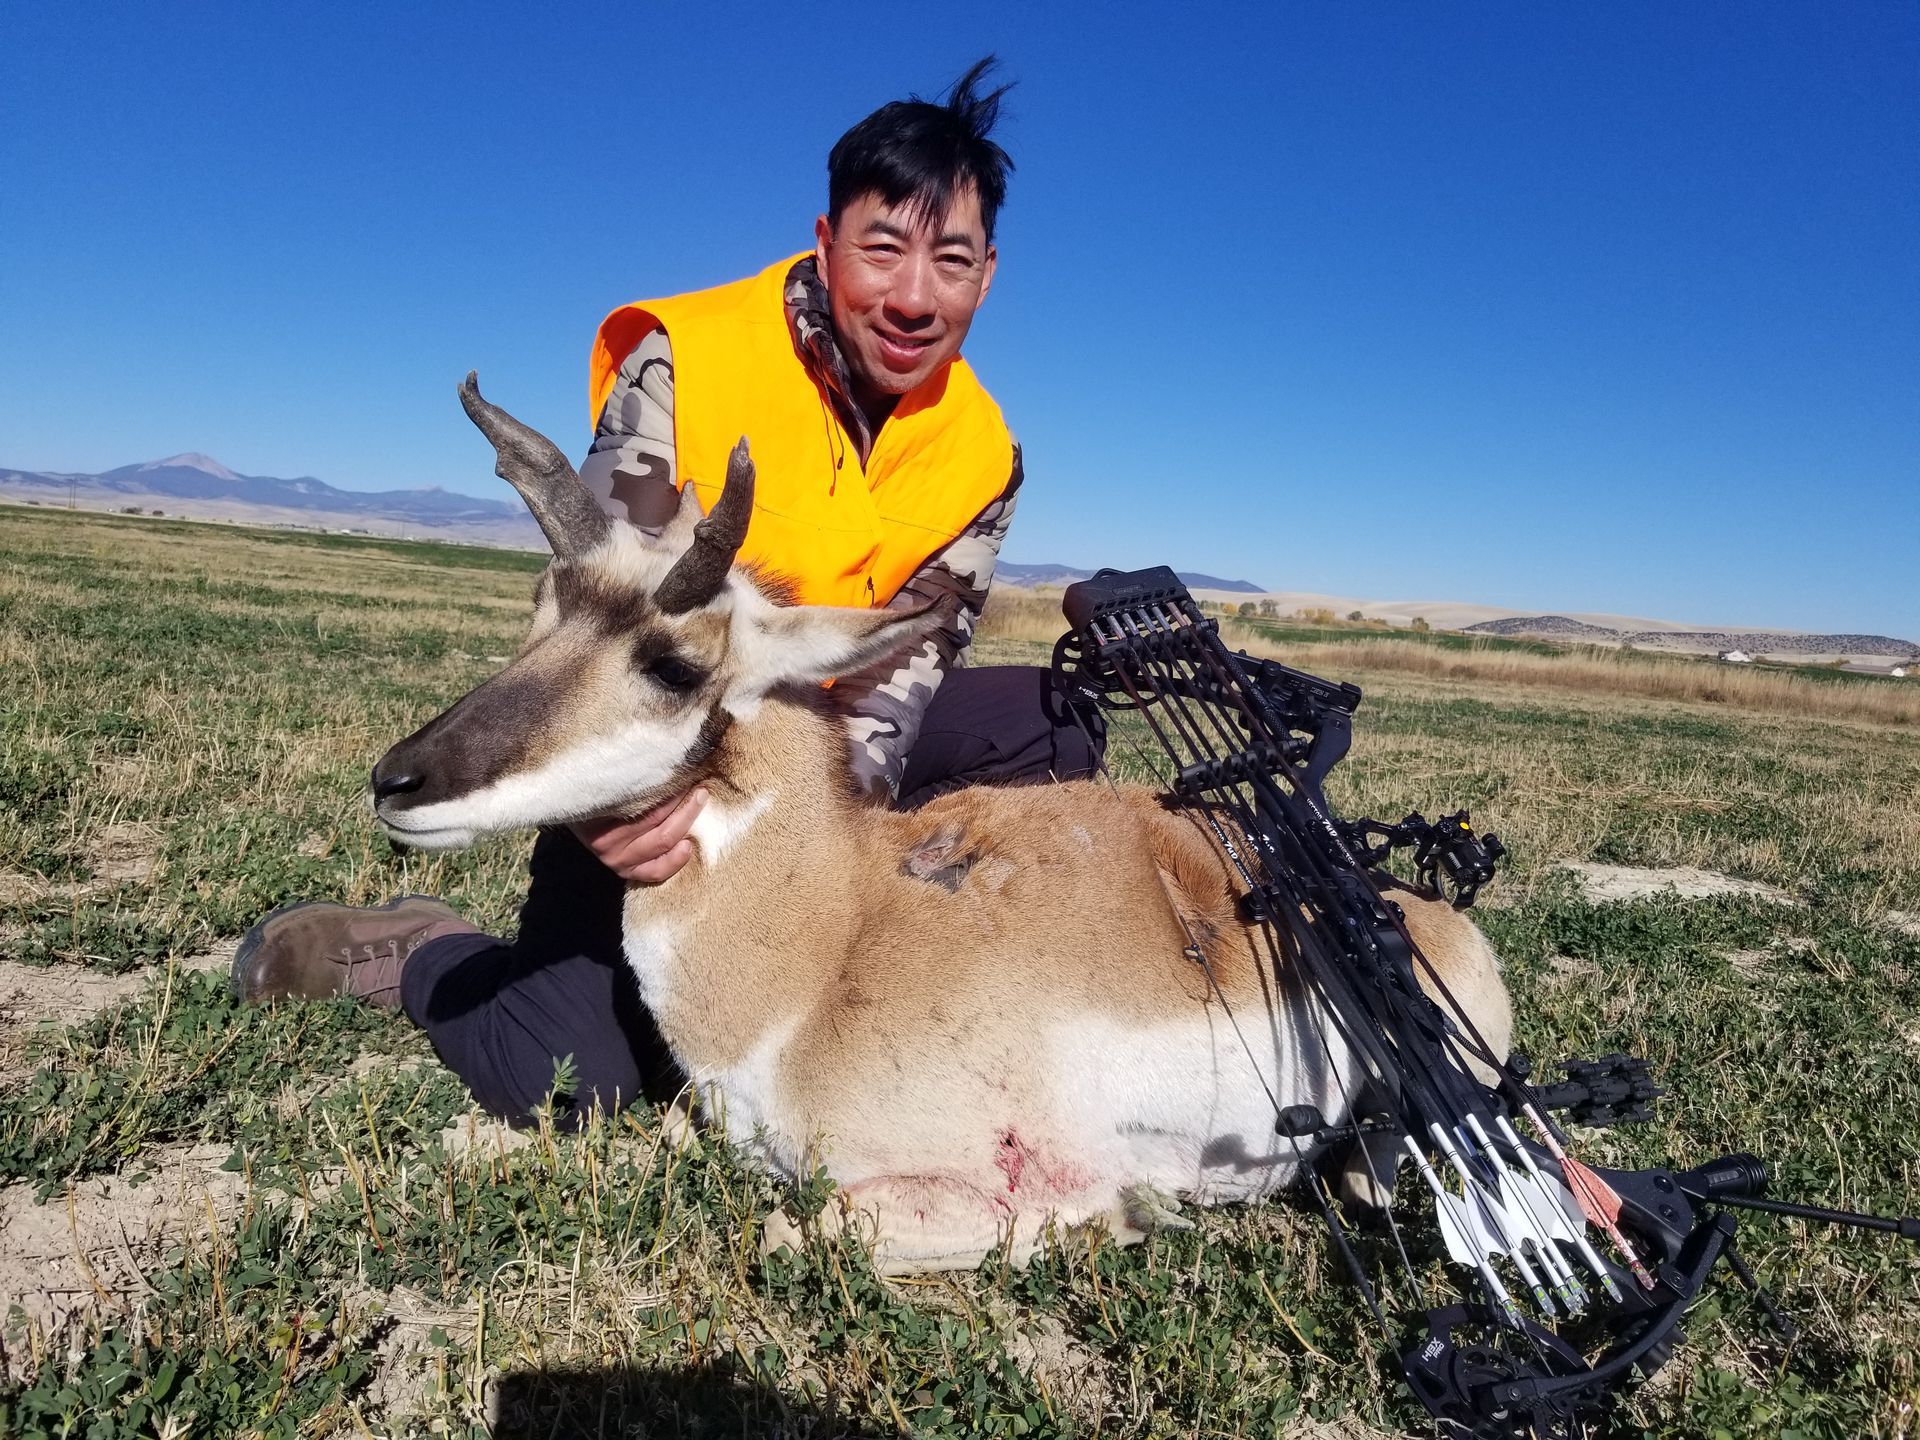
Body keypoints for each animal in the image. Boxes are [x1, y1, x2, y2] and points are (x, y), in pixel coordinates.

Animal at [370, 374, 1514, 1273]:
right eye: (539, 610)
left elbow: (792, 1229)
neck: (830, 943)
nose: (396, 781)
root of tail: (1421, 911)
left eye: (675, 664)